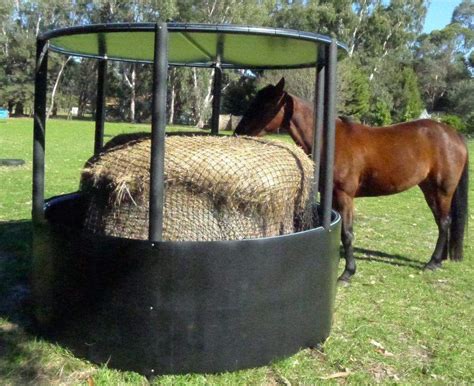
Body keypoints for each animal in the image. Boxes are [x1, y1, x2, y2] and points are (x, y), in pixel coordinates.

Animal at [235, 79, 468, 284]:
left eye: (267, 103)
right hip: (428, 189)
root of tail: (453, 134)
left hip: (443, 190)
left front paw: (347, 273)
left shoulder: (345, 196)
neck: (330, 141)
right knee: (441, 222)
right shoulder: (331, 195)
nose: (238, 131)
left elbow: (347, 234)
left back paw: (432, 262)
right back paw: (439, 260)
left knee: (444, 222)